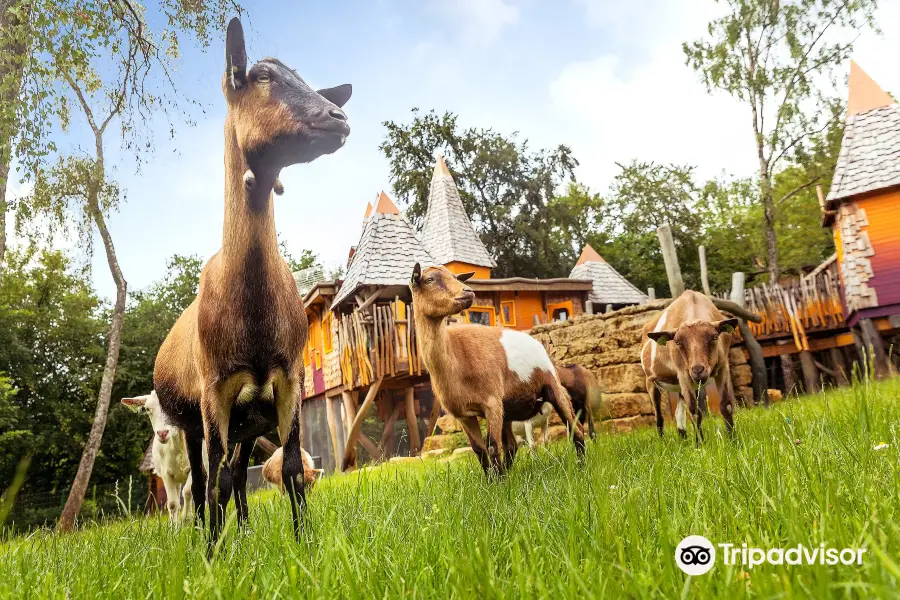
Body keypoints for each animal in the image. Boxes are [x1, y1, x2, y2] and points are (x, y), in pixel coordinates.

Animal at [155, 16, 352, 548]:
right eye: (261, 76)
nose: (338, 117)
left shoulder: (286, 379)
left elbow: (291, 468)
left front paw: (303, 544)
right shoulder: (216, 392)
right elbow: (214, 483)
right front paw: (211, 554)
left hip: (247, 423)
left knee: (240, 474)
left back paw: (242, 530)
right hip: (193, 423)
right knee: (206, 479)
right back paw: (207, 534)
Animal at [408, 262, 584, 474]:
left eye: (456, 277)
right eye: (429, 280)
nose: (468, 292)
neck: (455, 356)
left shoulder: (491, 402)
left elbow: (492, 445)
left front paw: (498, 480)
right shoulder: (464, 414)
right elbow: (479, 450)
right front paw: (492, 480)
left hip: (553, 386)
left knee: (576, 429)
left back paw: (582, 466)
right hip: (507, 407)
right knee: (512, 445)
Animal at [640, 290, 740, 440]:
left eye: (715, 337)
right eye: (677, 342)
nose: (698, 370)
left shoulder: (722, 367)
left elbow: (726, 405)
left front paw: (734, 440)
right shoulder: (683, 373)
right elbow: (694, 411)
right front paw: (701, 443)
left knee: (678, 415)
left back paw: (683, 438)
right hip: (651, 381)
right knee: (659, 417)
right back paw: (664, 442)